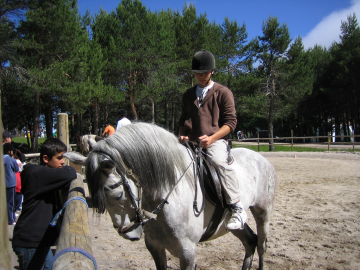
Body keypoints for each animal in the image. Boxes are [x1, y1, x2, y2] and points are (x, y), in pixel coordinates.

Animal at [66, 123, 278, 270]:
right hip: (229, 223)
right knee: (250, 241)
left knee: (261, 245)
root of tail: (260, 158)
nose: (130, 234)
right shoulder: (155, 247)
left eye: (117, 195)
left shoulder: (188, 254)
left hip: (263, 211)